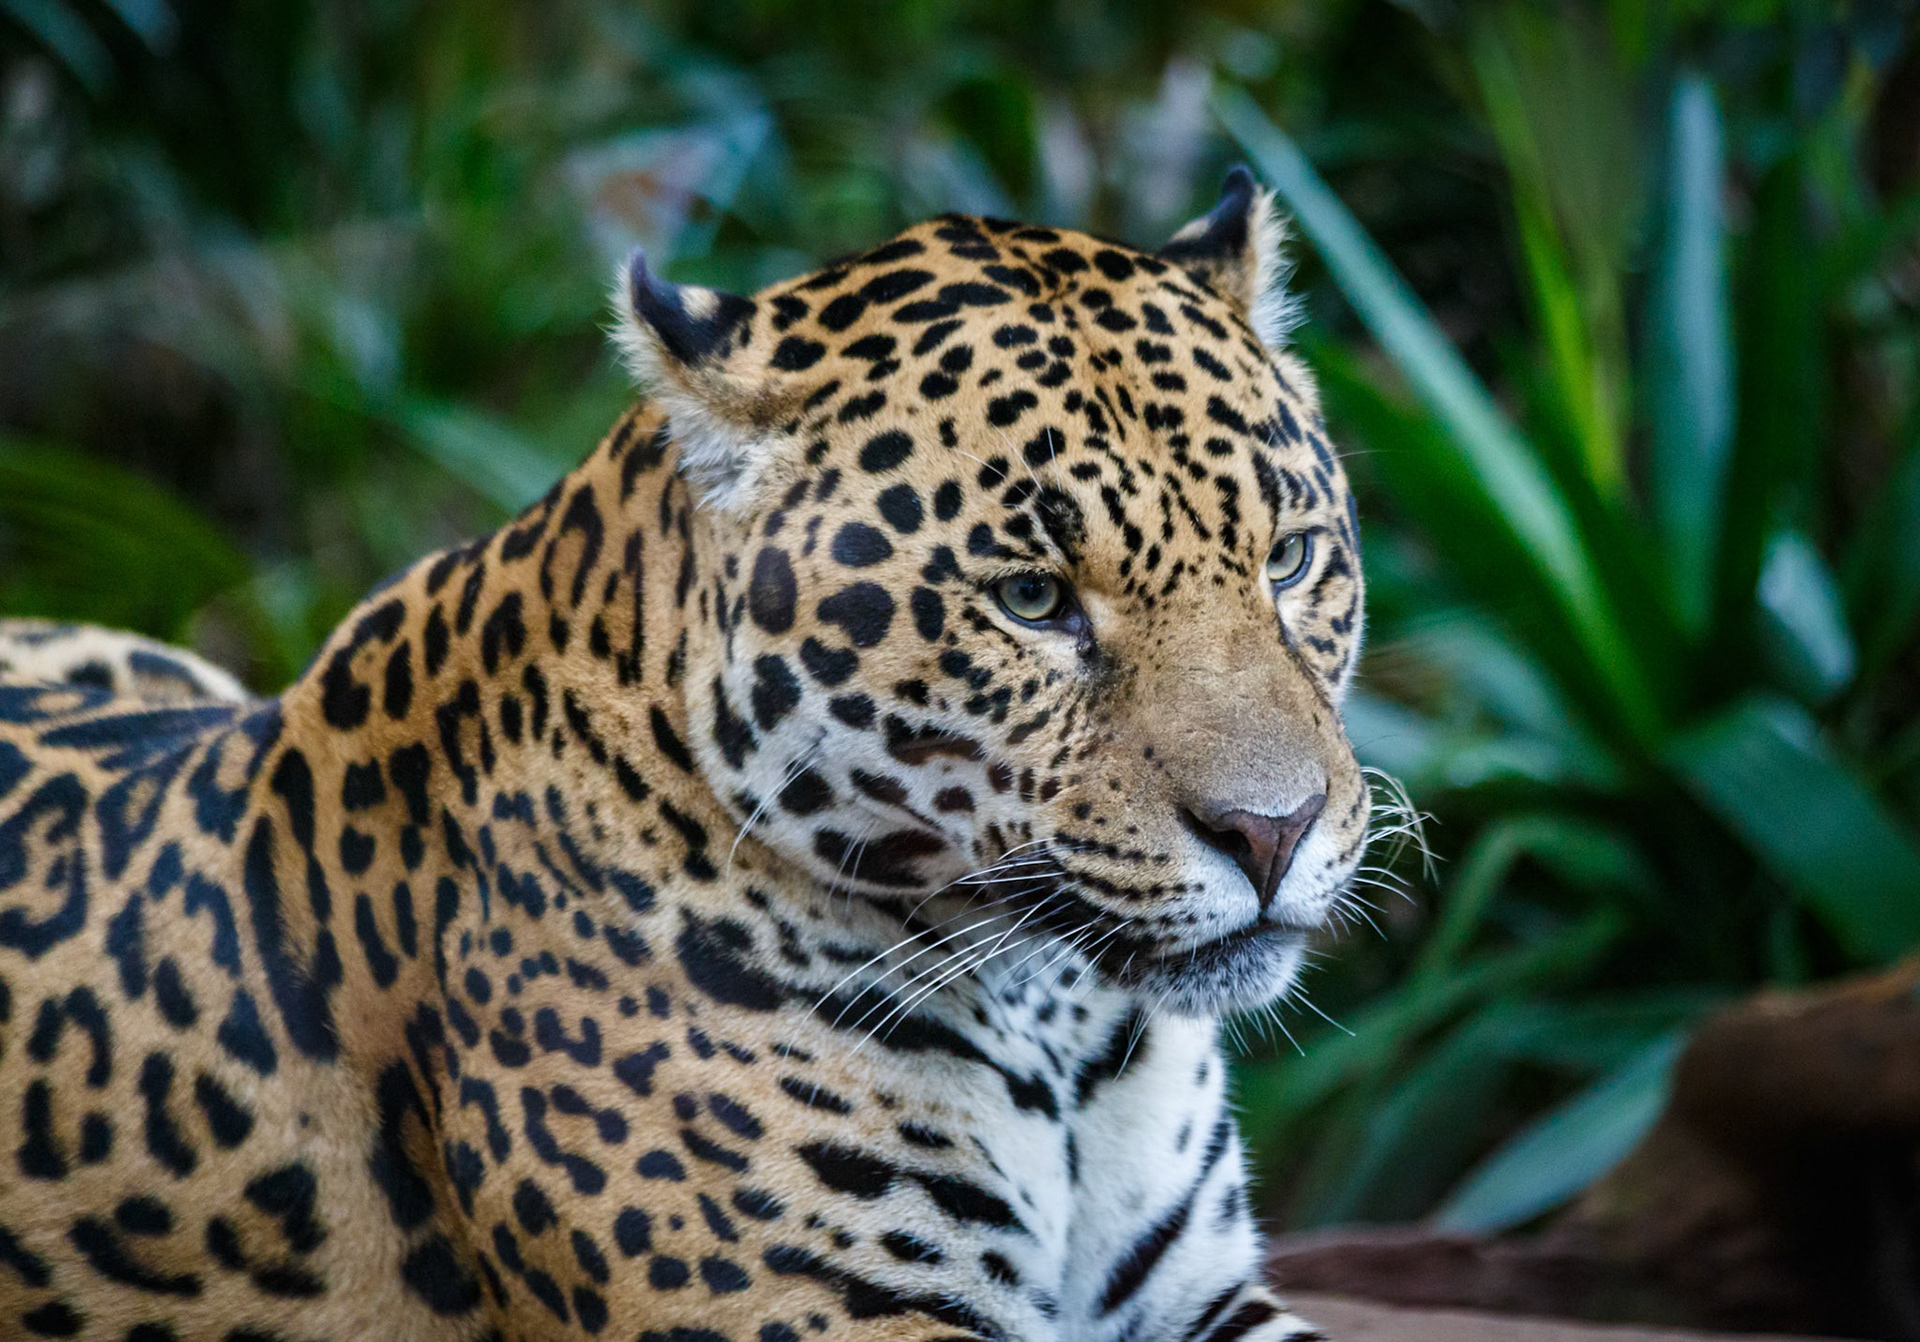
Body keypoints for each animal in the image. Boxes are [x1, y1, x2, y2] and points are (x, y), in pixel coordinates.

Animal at [0, 166, 1370, 1342]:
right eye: (1032, 600)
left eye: (1290, 557)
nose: (1273, 831)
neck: (1064, 1025)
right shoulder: (835, 1315)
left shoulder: (1199, 1295)